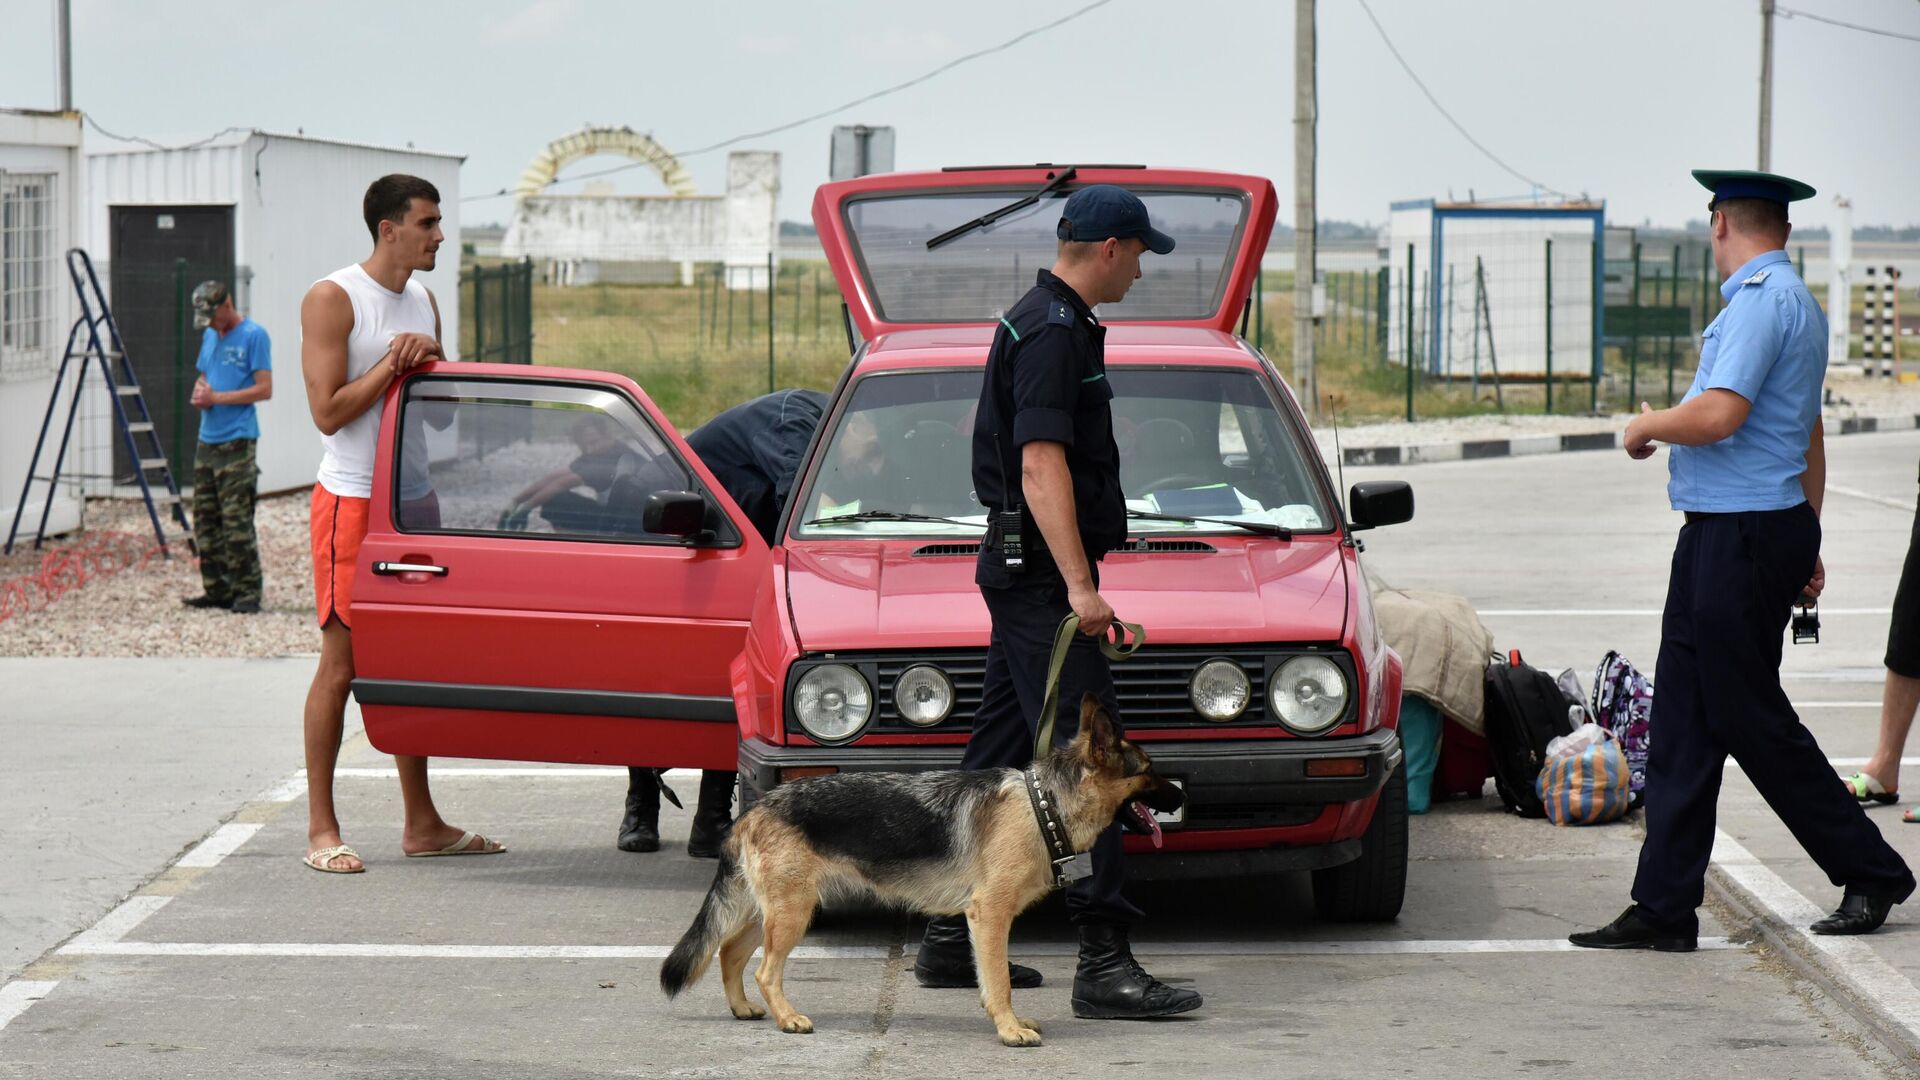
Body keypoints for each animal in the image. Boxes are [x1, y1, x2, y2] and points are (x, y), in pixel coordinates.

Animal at [660, 691, 1182, 1037]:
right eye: (1149, 770)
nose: (1178, 796)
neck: (1044, 805)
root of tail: (754, 810)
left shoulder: (985, 920)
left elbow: (992, 978)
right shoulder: (990, 916)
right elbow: (1000, 981)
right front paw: (1009, 1029)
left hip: (769, 910)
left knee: (729, 953)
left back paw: (743, 1009)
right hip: (792, 913)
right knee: (764, 971)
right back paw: (787, 1017)